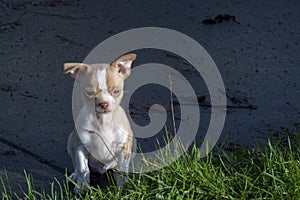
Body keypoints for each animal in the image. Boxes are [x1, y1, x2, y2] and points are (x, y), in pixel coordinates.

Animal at [65, 53, 137, 192]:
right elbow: (83, 168)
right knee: (76, 163)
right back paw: (75, 175)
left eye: (116, 91)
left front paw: (123, 187)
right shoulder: (81, 146)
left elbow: (122, 170)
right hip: (71, 141)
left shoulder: (123, 147)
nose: (104, 104)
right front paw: (82, 185)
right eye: (89, 93)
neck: (103, 122)